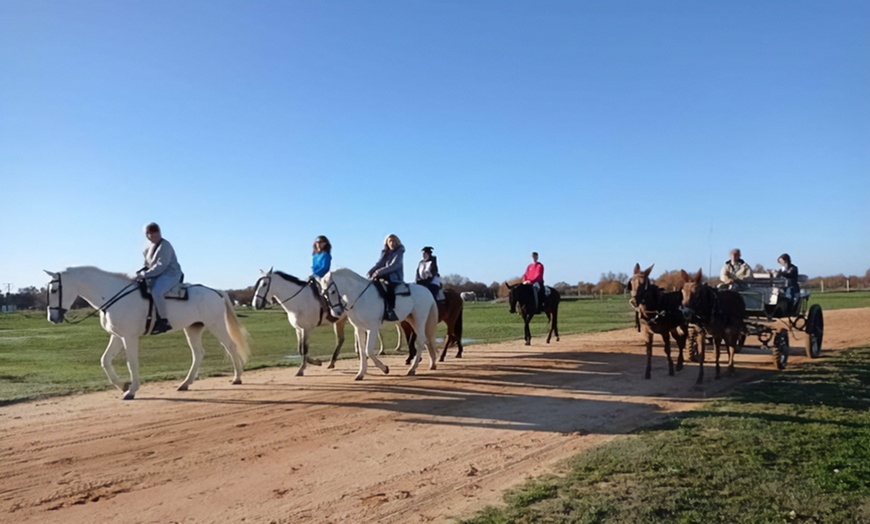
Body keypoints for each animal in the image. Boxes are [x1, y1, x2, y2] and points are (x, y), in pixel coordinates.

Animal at [45, 266, 250, 400]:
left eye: (54, 289)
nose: (52, 317)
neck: (113, 295)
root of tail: (216, 291)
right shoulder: (117, 336)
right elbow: (105, 361)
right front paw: (123, 385)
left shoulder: (129, 337)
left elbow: (131, 363)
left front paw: (131, 390)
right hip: (193, 328)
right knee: (198, 354)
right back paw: (185, 383)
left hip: (216, 325)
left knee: (230, 347)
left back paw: (237, 377)